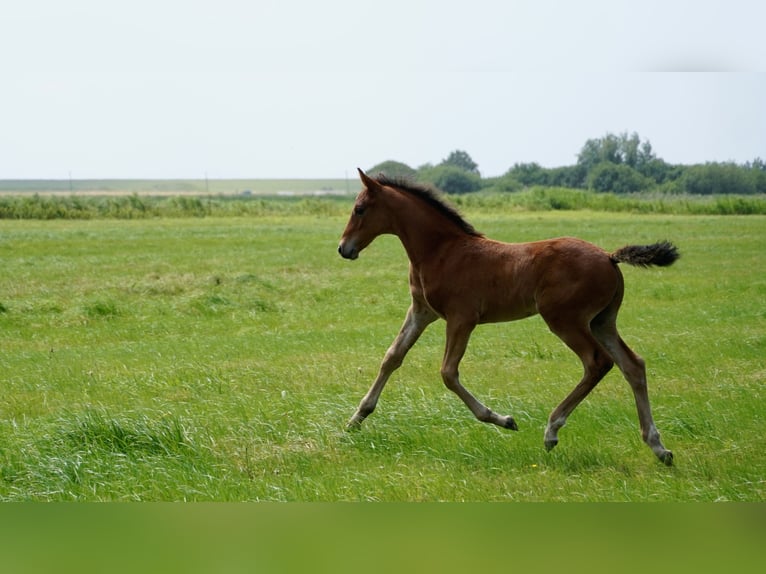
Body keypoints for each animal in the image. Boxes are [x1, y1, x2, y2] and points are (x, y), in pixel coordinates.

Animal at [338, 169, 679, 465]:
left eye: (360, 209)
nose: (344, 249)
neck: (441, 251)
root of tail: (609, 257)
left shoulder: (461, 318)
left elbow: (448, 373)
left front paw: (502, 419)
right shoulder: (422, 312)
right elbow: (392, 357)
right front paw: (356, 419)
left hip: (565, 319)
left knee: (597, 362)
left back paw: (552, 430)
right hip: (602, 321)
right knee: (632, 365)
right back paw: (658, 447)